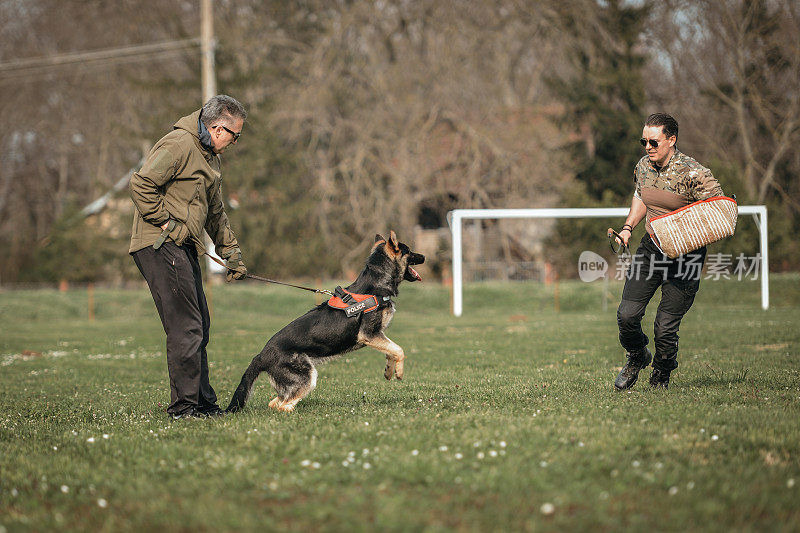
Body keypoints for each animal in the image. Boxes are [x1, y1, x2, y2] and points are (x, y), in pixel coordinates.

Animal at [227, 230, 424, 412]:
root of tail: (261, 355)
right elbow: (399, 350)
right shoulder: (369, 334)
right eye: (409, 251)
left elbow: (391, 351)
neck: (375, 285)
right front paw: (399, 372)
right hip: (306, 377)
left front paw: (389, 371)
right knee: (283, 405)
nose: (424, 256)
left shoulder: (378, 335)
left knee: (275, 402)